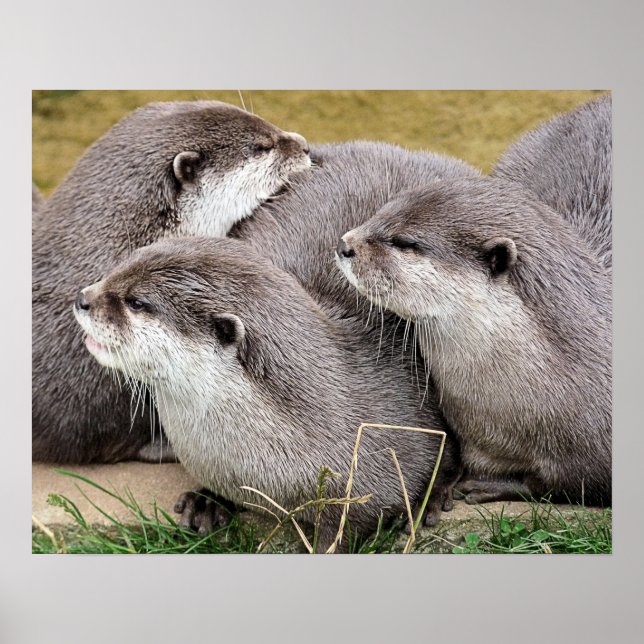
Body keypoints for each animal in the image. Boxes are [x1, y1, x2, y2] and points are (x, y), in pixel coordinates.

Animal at [336, 177, 611, 506]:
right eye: (380, 212)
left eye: (404, 242)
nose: (344, 245)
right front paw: (434, 495)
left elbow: (560, 483)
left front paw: (491, 486)